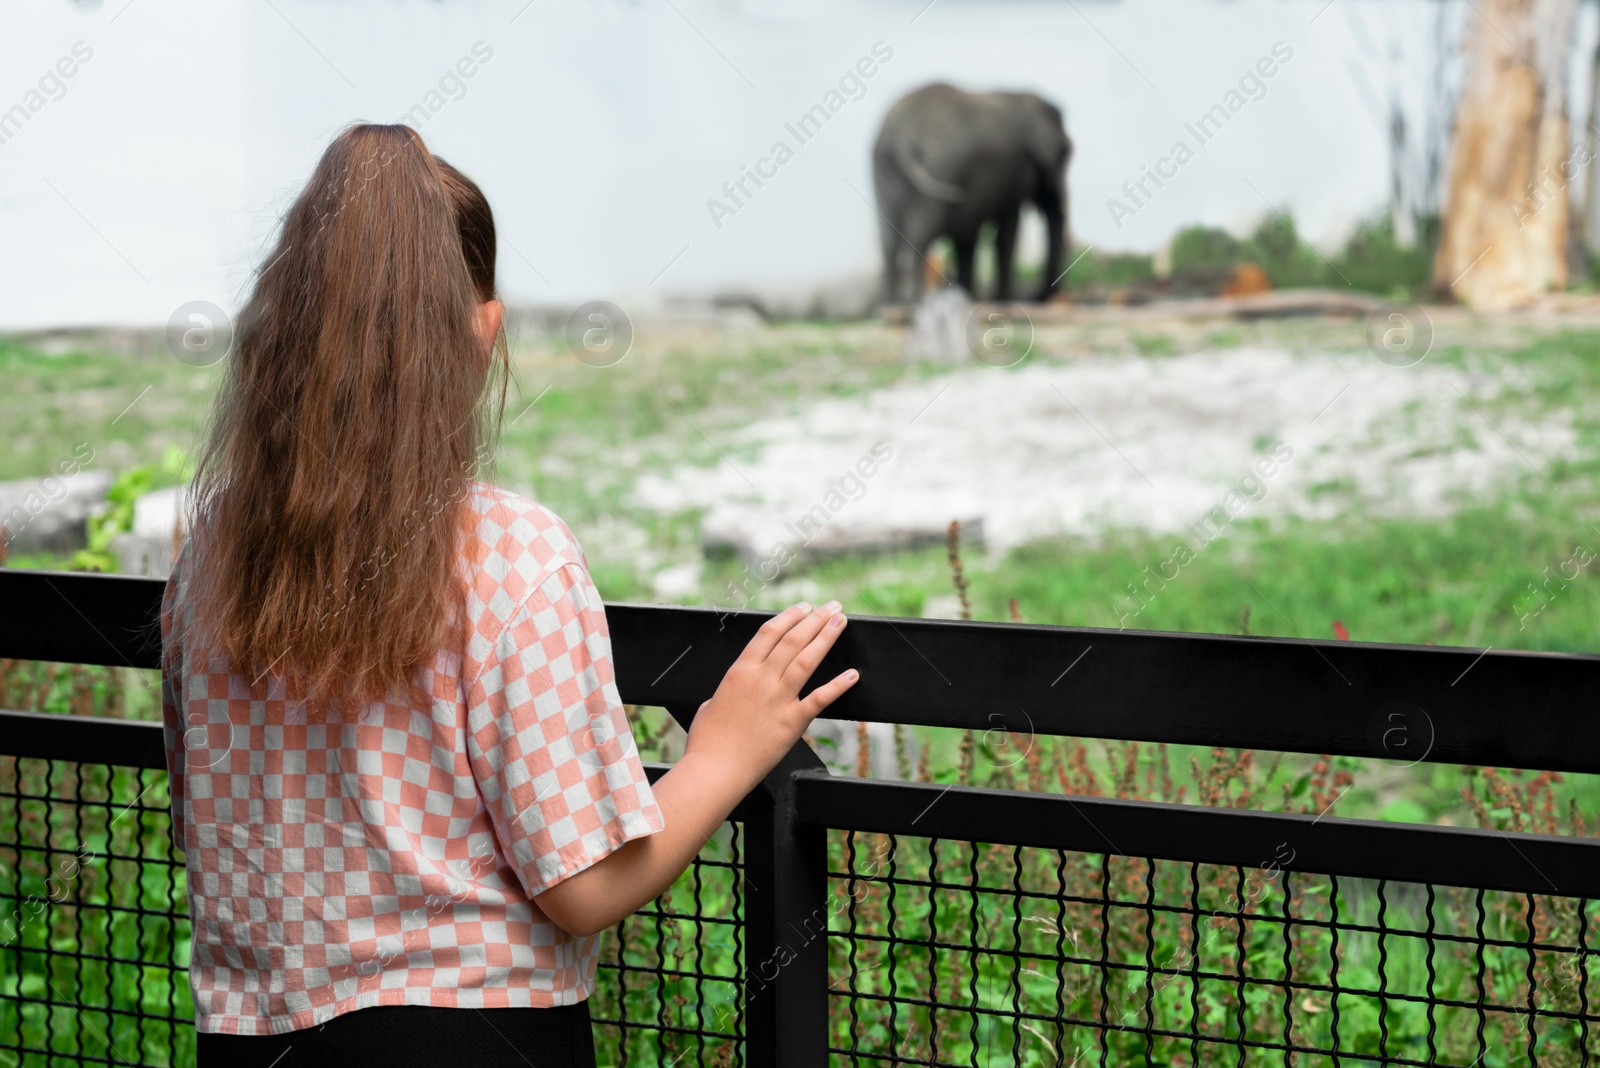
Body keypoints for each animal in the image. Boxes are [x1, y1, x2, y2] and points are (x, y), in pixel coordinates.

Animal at [876, 83, 1075, 303]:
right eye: (1065, 153)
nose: (1037, 296)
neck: (1023, 97)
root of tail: (901, 140)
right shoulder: (1017, 172)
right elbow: (1006, 231)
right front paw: (1002, 300)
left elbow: (968, 237)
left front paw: (968, 296)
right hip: (939, 168)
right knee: (918, 234)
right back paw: (916, 300)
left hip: (883, 169)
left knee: (888, 238)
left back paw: (890, 302)